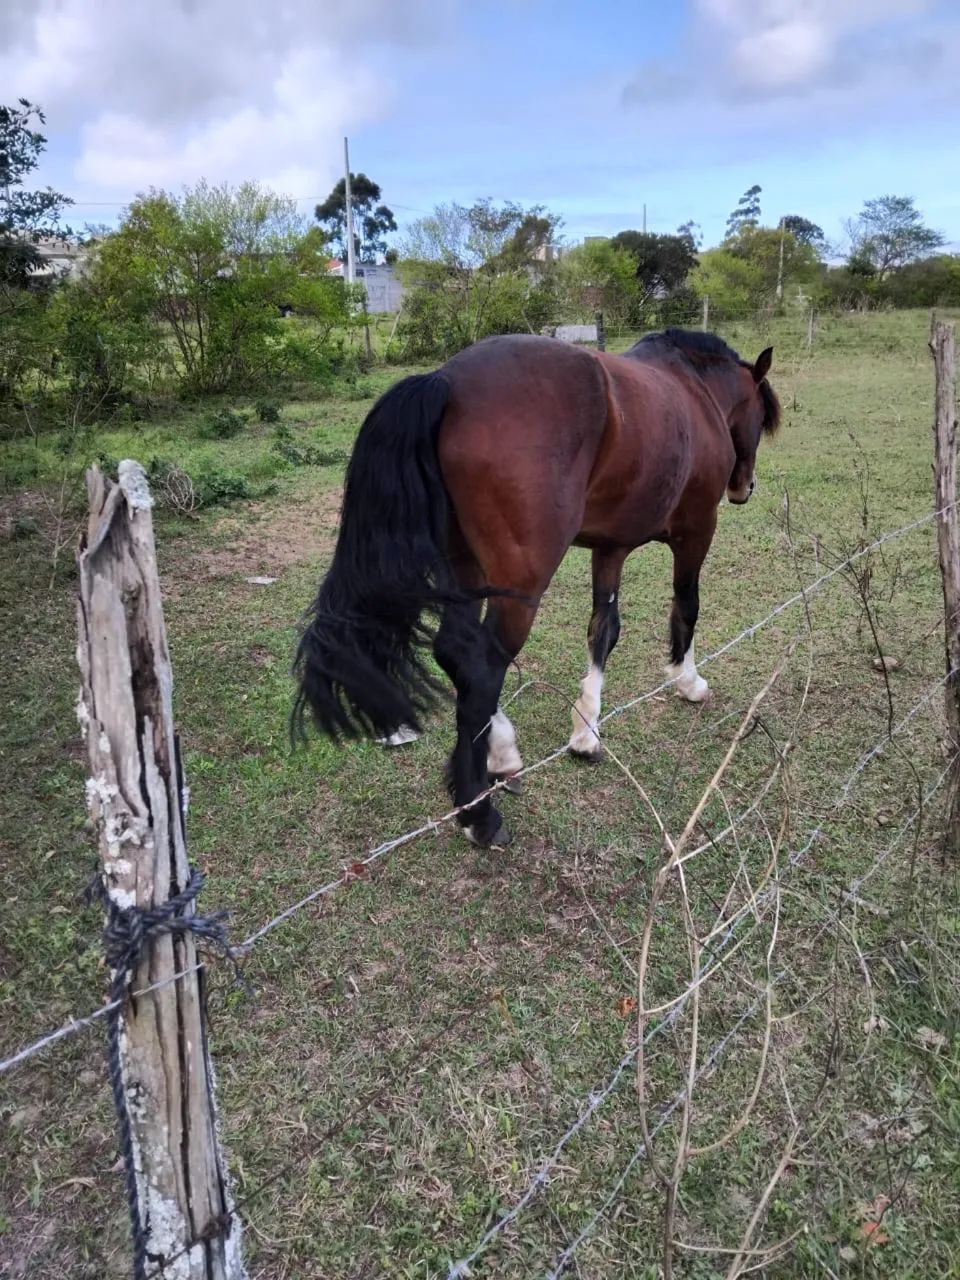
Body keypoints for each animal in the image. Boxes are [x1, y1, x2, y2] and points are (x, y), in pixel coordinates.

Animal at [293, 328, 780, 847]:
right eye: (759, 414)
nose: (745, 487)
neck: (694, 391)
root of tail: (446, 382)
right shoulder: (697, 530)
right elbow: (687, 605)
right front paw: (688, 681)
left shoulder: (611, 547)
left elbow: (603, 630)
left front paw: (586, 732)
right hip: (521, 585)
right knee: (483, 667)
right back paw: (479, 813)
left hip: (467, 570)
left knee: (455, 651)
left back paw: (501, 752)